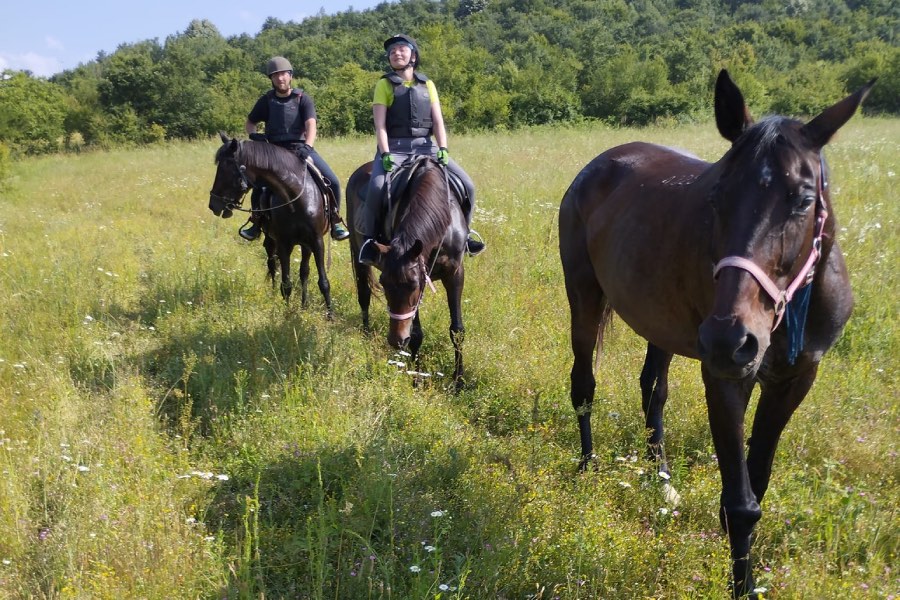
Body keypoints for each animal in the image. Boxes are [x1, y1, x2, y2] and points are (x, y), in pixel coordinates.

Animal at [560, 69, 876, 596]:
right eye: (715, 198)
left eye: (804, 200)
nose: (731, 338)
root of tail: (597, 165)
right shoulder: (727, 377)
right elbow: (741, 502)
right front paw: (741, 583)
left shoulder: (795, 379)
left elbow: (757, 477)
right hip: (584, 298)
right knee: (583, 384)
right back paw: (588, 466)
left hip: (660, 323)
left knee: (653, 389)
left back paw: (660, 476)